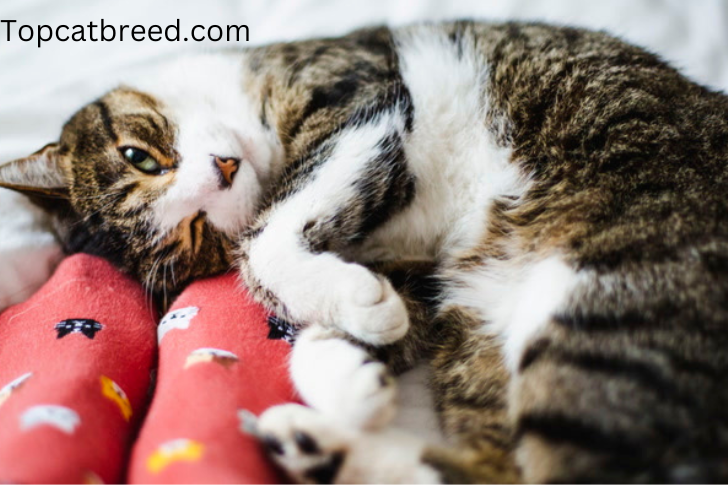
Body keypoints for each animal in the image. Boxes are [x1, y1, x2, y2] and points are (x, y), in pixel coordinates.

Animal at [1, 18, 728, 480]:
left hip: (609, 296)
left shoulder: (359, 97)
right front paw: (346, 361)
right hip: (482, 325)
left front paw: (345, 316)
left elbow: (270, 237)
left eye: (140, 156)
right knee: (502, 469)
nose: (224, 173)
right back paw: (314, 445)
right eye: (195, 232)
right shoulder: (429, 269)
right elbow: (376, 306)